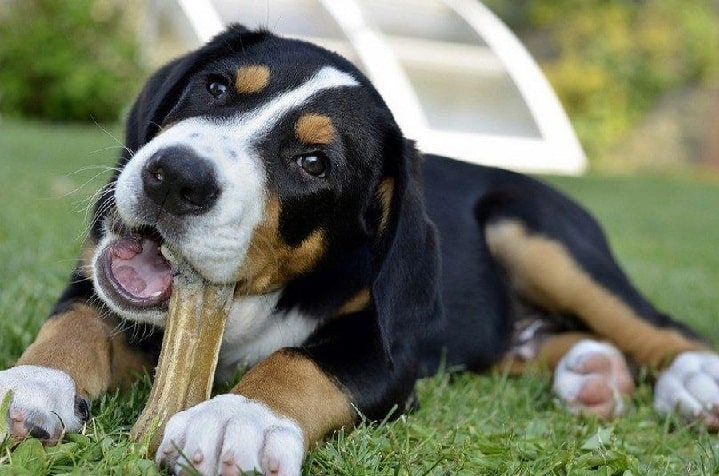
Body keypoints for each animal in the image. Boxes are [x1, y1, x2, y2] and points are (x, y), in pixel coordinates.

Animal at [1, 26, 719, 476]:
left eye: (314, 162)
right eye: (215, 88)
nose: (174, 176)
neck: (255, 303)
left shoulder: (385, 351)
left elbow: (299, 363)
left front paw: (237, 418)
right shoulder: (96, 287)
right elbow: (75, 325)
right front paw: (29, 385)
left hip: (532, 228)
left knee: (657, 325)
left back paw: (690, 380)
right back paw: (592, 375)